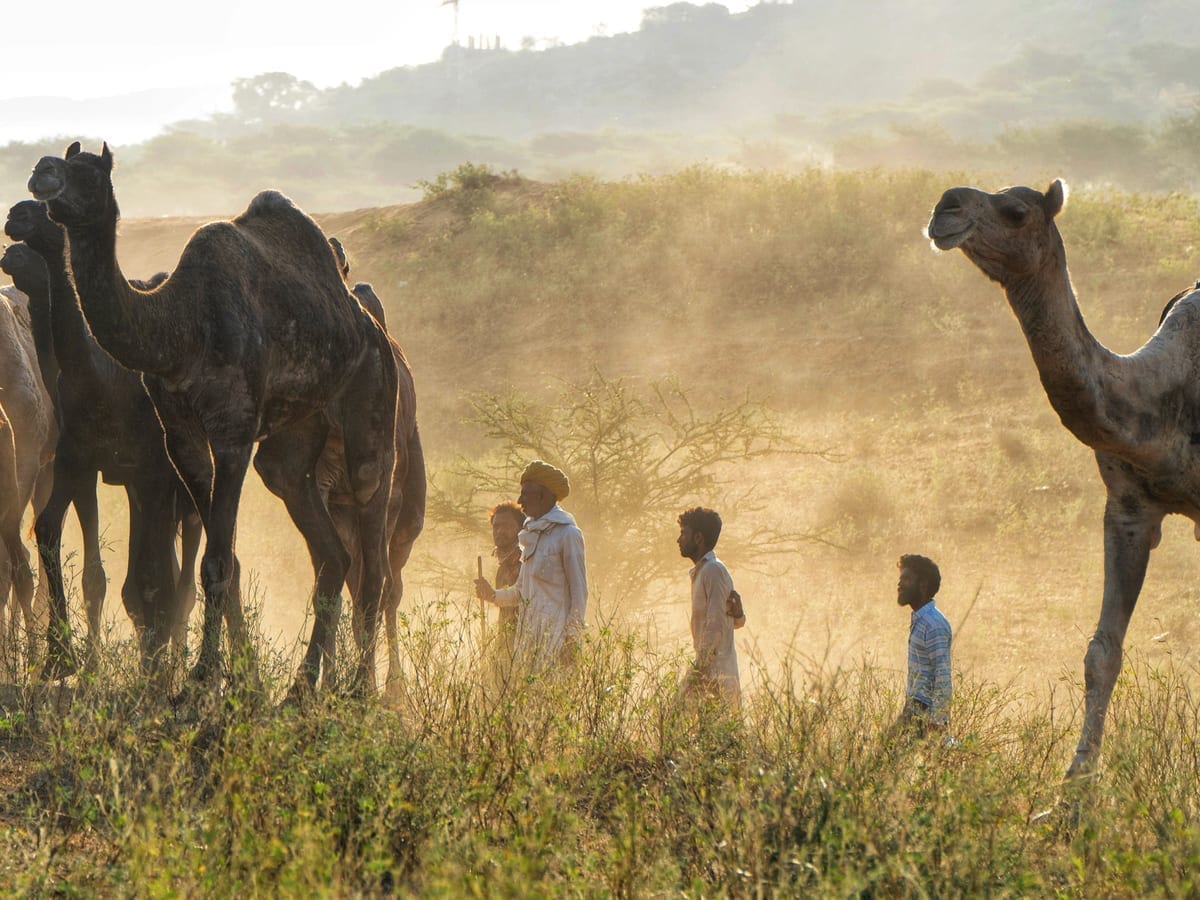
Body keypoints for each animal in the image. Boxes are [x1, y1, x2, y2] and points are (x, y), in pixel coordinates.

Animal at [3, 207, 202, 674]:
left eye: (44, 210)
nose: (13, 219)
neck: (98, 380)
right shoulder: (78, 461)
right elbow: (56, 536)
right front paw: (62, 656)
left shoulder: (149, 471)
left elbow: (149, 579)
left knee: (184, 570)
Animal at [28, 142, 399, 696]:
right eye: (55, 161)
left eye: (89, 173)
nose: (41, 172)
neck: (179, 327)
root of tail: (373, 328)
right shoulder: (181, 436)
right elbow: (220, 560)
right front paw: (224, 679)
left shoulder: (232, 432)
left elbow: (218, 560)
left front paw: (204, 678)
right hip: (292, 446)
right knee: (331, 550)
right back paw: (298, 690)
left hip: (373, 410)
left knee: (373, 560)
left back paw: (359, 691)